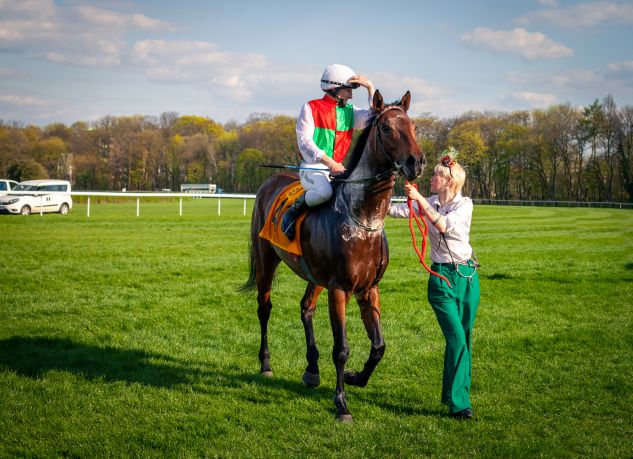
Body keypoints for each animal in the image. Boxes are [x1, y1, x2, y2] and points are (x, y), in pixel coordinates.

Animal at [239, 90, 428, 424]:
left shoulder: (369, 289)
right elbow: (341, 348)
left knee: (306, 308)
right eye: (386, 129)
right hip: (266, 260)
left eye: (414, 127)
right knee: (264, 309)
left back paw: (312, 369)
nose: (416, 162)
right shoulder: (339, 289)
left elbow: (379, 346)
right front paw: (341, 404)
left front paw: (356, 377)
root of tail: (270, 182)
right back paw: (266, 364)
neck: (362, 220)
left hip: (315, 275)